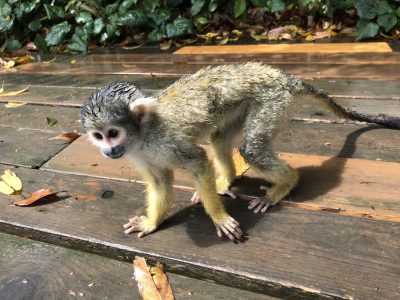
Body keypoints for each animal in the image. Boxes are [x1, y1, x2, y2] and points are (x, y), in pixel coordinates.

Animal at [79, 62, 398, 240]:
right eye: (98, 136)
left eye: (113, 133)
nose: (108, 151)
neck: (141, 136)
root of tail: (278, 76)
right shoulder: (137, 153)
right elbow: (159, 181)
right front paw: (151, 222)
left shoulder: (166, 141)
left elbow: (199, 163)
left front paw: (218, 218)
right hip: (238, 106)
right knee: (220, 137)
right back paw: (227, 180)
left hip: (271, 101)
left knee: (251, 148)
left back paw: (284, 184)